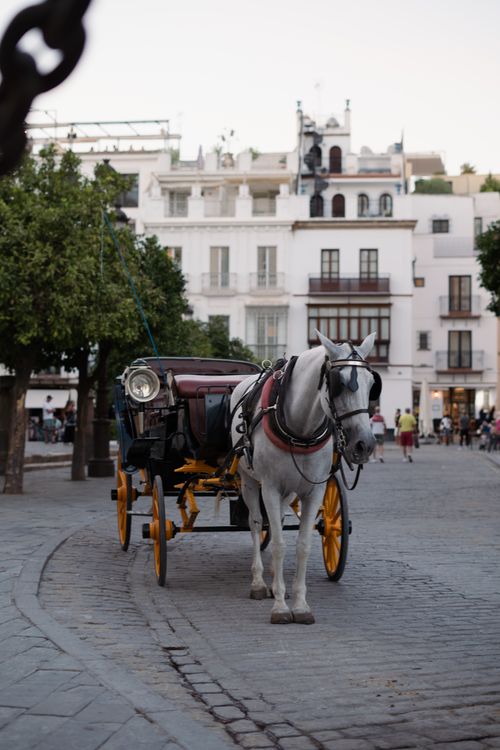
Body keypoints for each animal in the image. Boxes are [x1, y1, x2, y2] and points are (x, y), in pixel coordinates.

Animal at [230, 330, 380, 624]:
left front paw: (299, 604)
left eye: (372, 385)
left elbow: (302, 545)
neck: (299, 429)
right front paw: (279, 607)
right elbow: (278, 544)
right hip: (249, 480)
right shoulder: (270, 487)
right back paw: (259, 582)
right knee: (255, 523)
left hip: (289, 489)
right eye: (339, 384)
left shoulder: (314, 491)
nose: (364, 445)